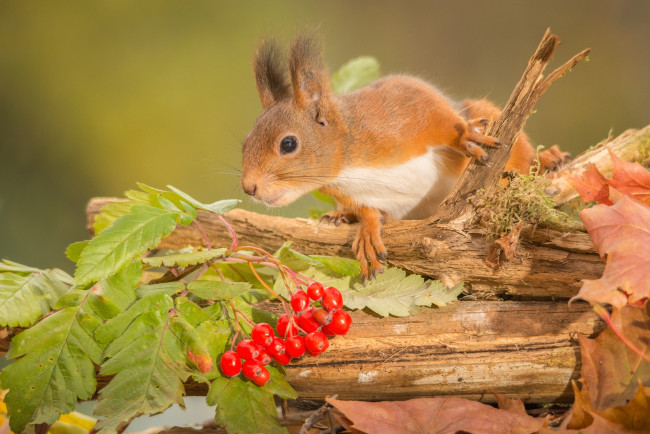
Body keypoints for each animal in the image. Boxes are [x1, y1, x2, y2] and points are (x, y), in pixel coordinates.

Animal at [239, 32, 568, 280]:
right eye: (244, 143)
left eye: (288, 143)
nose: (249, 187)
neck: (348, 165)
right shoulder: (361, 195)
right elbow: (368, 210)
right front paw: (367, 230)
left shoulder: (404, 105)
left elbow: (441, 119)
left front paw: (465, 136)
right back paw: (340, 216)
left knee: (524, 155)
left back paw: (549, 160)